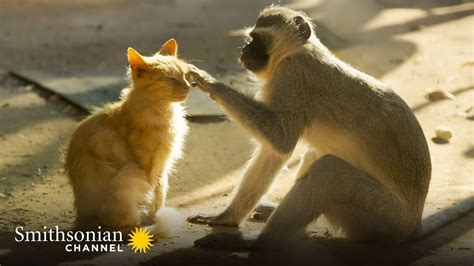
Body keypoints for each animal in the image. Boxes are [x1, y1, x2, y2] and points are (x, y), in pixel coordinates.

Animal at [65, 38, 191, 231]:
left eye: (185, 76)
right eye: (171, 79)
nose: (189, 87)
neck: (163, 110)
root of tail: (82, 217)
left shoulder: (162, 167)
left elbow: (159, 193)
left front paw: (155, 215)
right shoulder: (149, 166)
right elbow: (153, 195)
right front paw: (151, 218)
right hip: (128, 175)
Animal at [185, 5, 466, 247]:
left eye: (260, 39)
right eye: (251, 38)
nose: (245, 50)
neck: (296, 52)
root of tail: (414, 223)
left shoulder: (292, 77)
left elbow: (281, 140)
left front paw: (210, 83)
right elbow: (274, 152)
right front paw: (225, 218)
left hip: (384, 216)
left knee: (327, 171)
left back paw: (259, 243)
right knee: (314, 156)